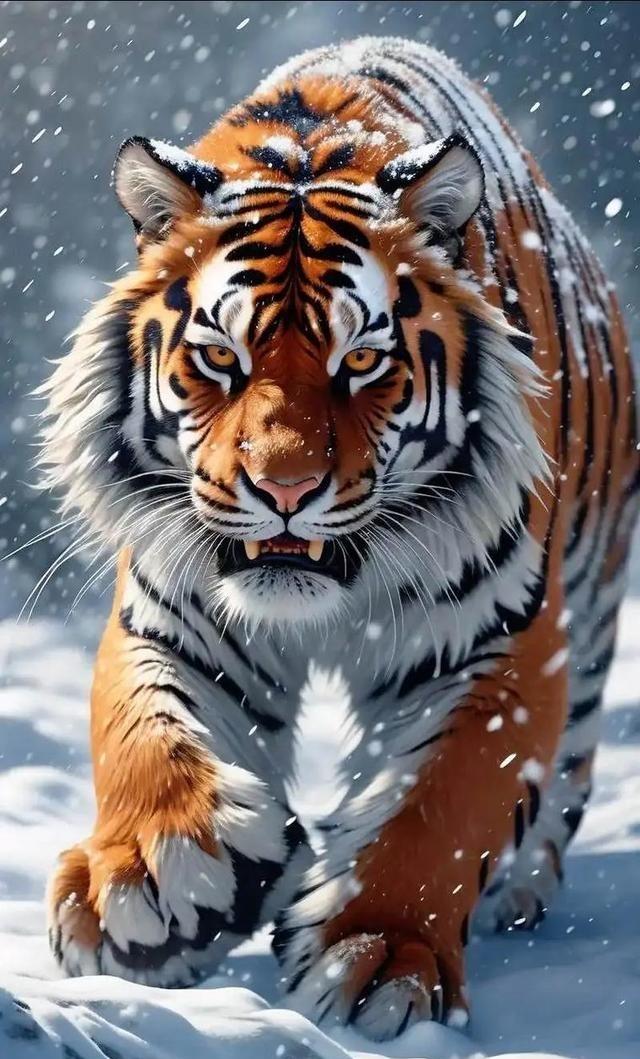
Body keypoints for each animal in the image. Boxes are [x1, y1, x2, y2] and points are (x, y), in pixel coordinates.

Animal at [41, 36, 638, 1041]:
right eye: (220, 357)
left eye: (361, 361)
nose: (284, 486)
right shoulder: (170, 608)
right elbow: (145, 734)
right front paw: (150, 877)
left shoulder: (499, 637)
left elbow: (443, 803)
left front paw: (380, 953)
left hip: (591, 614)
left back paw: (521, 884)